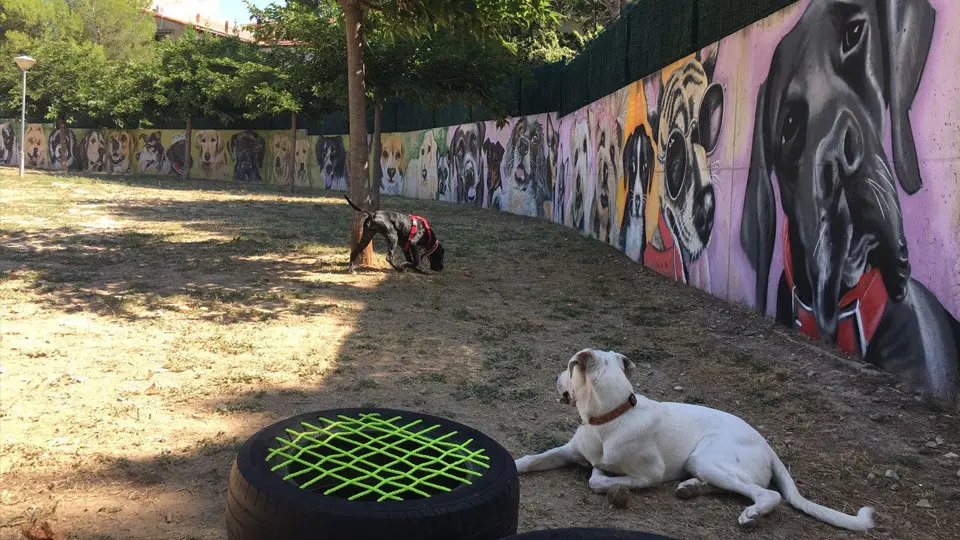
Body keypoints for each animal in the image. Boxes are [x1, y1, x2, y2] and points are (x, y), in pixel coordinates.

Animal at [516, 350, 876, 532]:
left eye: (569, 368)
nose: (555, 378)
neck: (609, 419)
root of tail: (767, 445)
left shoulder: (649, 476)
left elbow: (598, 481)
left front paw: (603, 476)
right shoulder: (568, 451)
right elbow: (531, 459)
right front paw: (516, 465)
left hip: (707, 457)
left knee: (767, 494)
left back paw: (752, 514)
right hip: (701, 463)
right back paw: (691, 488)